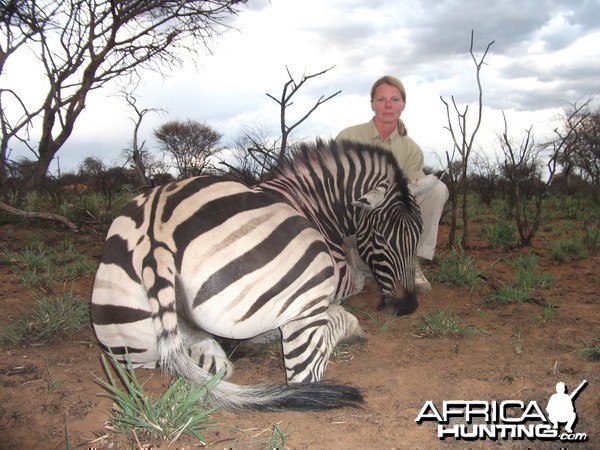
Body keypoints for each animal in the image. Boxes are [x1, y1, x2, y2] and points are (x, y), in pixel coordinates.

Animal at [92, 139, 422, 414]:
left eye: (417, 237)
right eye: (379, 237)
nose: (407, 306)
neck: (307, 203)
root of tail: (155, 232)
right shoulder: (338, 276)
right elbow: (356, 281)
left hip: (142, 346)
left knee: (214, 368)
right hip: (308, 288)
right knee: (305, 372)